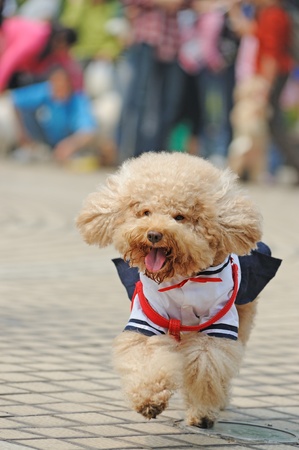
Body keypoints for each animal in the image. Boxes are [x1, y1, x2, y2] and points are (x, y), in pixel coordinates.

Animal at [77, 152, 282, 428]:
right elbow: (146, 356)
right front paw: (149, 400)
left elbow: (206, 367)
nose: (154, 234)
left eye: (179, 217)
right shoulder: (147, 319)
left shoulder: (217, 327)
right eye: (145, 212)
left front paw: (202, 411)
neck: (182, 277)